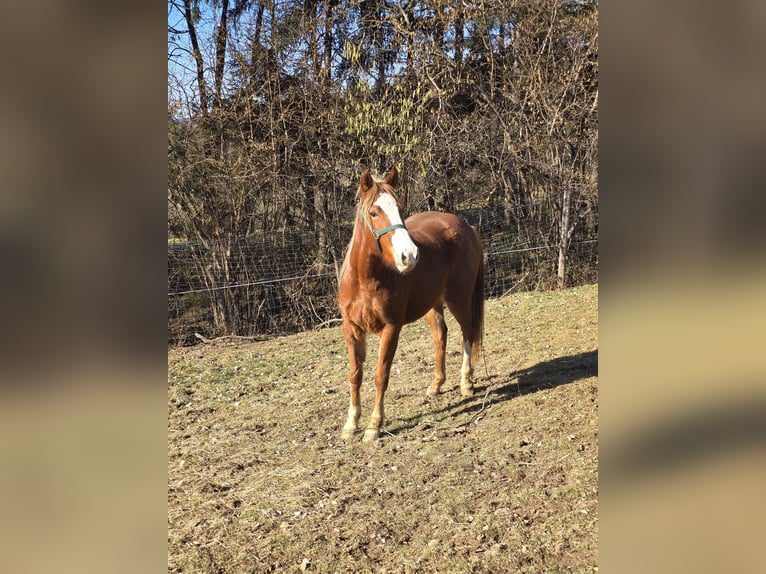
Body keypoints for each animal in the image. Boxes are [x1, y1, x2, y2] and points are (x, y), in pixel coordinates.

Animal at [338, 166, 484, 440]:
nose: (410, 256)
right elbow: (355, 375)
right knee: (441, 333)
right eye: (374, 212)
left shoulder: (391, 328)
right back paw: (436, 385)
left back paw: (466, 382)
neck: (365, 280)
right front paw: (351, 424)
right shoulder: (352, 329)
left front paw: (374, 426)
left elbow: (380, 375)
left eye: (400, 207)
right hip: (432, 303)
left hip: (458, 298)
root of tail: (466, 225)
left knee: (468, 331)